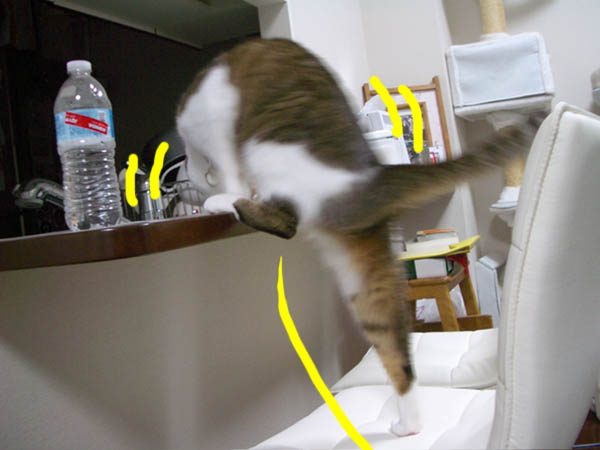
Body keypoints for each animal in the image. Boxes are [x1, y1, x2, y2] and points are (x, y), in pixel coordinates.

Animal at [176, 38, 540, 437]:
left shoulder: (216, 119)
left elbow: (226, 170)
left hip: (268, 148)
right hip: (367, 276)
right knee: (396, 350)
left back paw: (227, 202)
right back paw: (408, 425)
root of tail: (372, 174)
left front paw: (217, 191)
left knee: (286, 221)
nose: (190, 190)